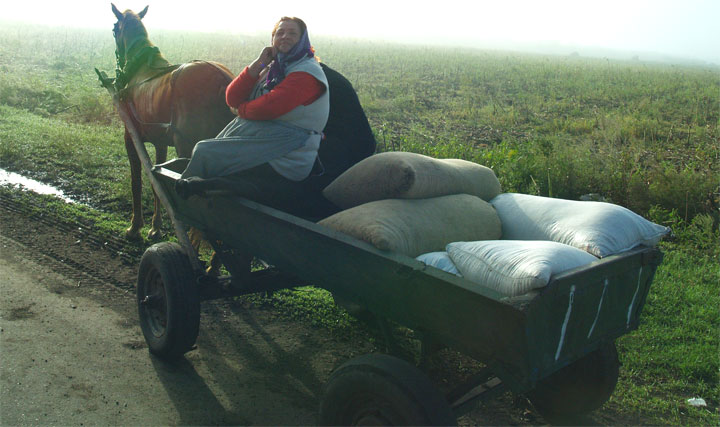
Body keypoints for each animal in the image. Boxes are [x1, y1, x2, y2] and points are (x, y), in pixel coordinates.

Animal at [109, 4, 233, 241]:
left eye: (113, 29)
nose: (118, 62)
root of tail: (224, 79)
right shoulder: (160, 144)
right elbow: (157, 182)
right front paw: (155, 227)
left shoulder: (130, 137)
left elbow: (137, 181)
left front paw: (135, 227)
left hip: (187, 148)